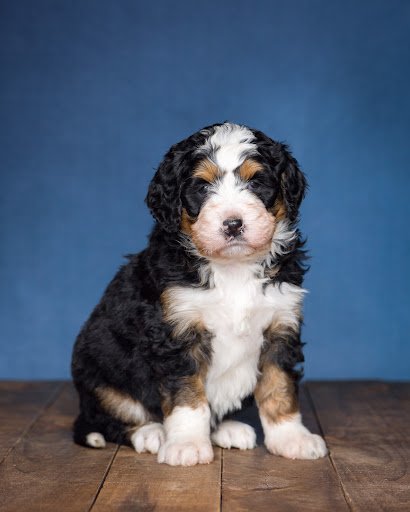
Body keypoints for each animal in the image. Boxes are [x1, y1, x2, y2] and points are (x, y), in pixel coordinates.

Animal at [70, 123, 326, 464]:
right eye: (203, 187)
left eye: (256, 183)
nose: (233, 224)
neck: (233, 269)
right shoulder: (177, 332)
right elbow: (187, 396)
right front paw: (186, 444)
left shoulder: (281, 326)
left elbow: (279, 388)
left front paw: (291, 438)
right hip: (99, 376)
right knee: (114, 418)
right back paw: (151, 433)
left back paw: (228, 429)